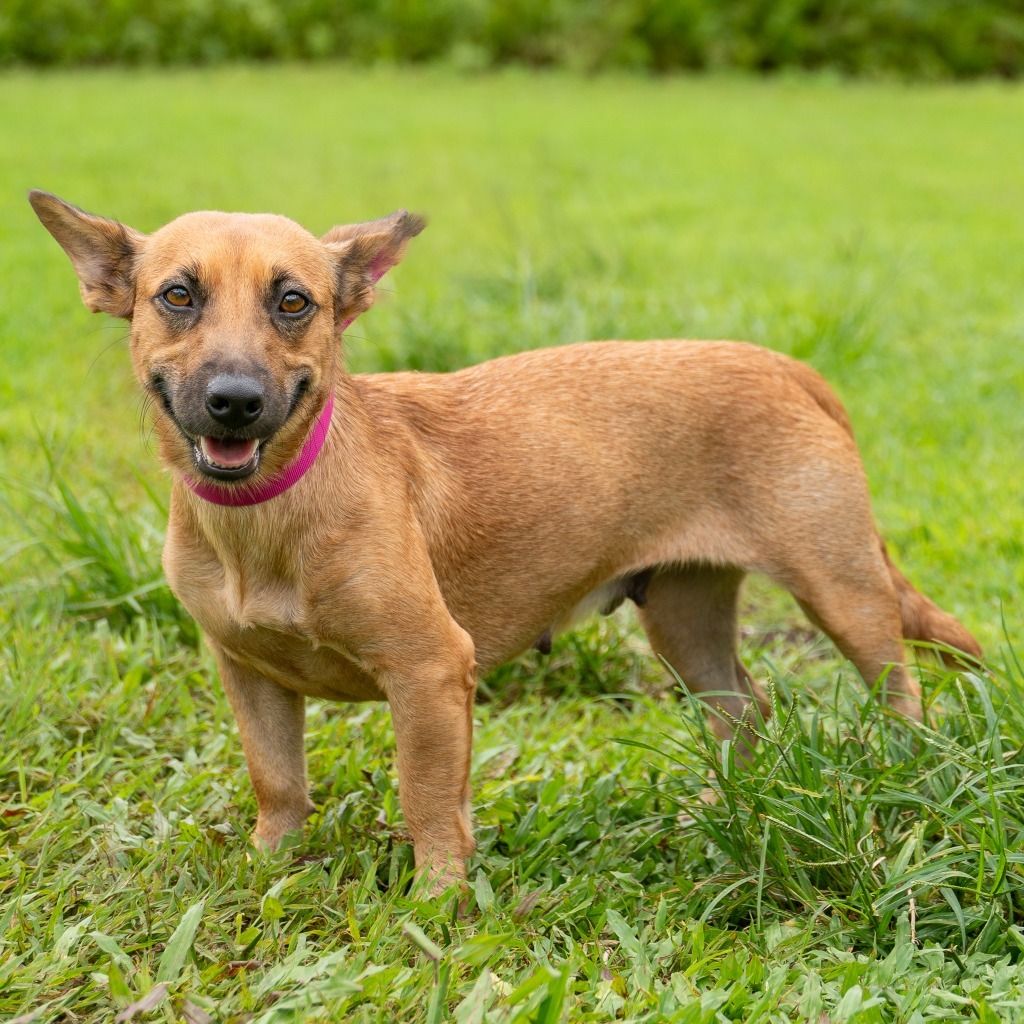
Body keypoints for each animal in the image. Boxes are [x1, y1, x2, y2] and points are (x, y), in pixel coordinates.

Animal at [28, 190, 978, 888]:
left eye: (294, 301)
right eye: (177, 297)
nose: (234, 400)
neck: (268, 512)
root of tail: (786, 365)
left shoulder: (429, 671)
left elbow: (425, 798)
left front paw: (437, 904)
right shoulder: (249, 673)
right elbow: (280, 782)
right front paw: (272, 867)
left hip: (842, 594)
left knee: (901, 692)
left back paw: (907, 776)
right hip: (684, 622)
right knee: (743, 713)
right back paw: (722, 809)